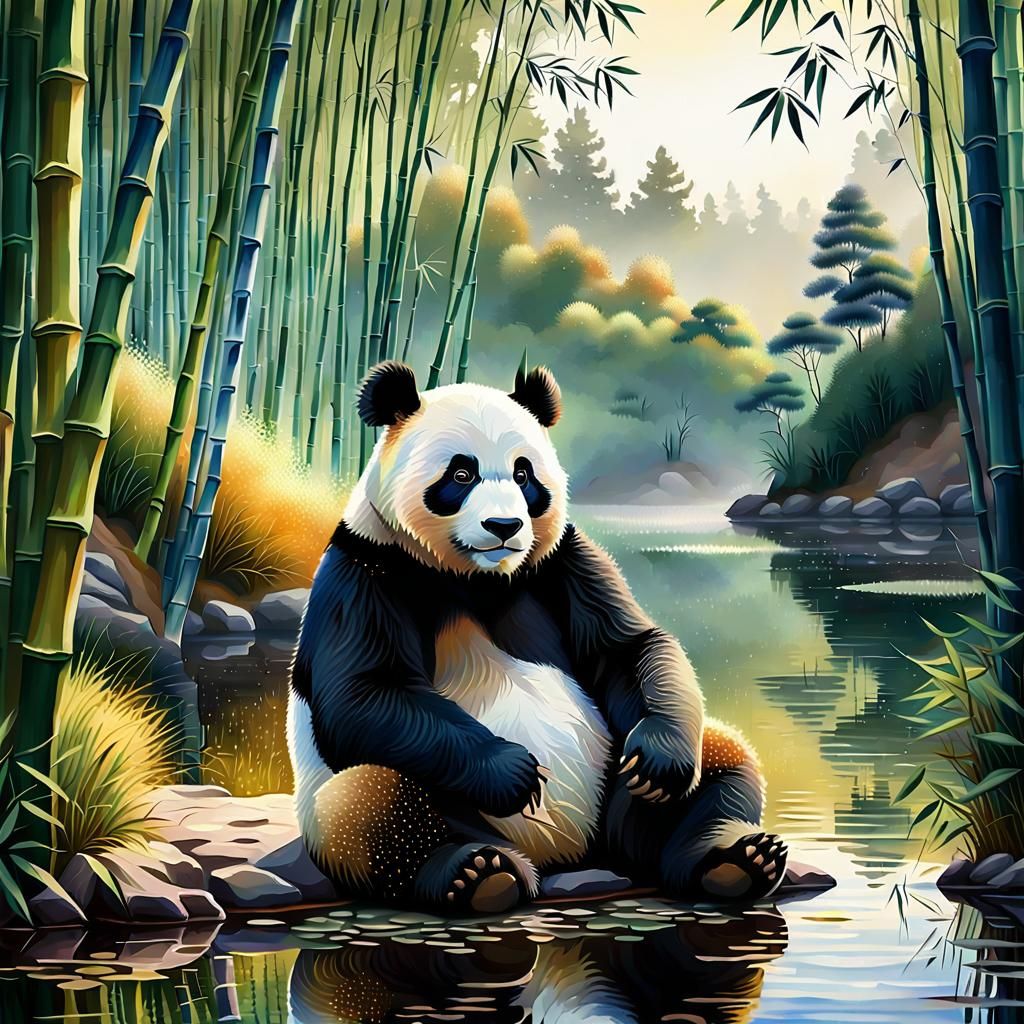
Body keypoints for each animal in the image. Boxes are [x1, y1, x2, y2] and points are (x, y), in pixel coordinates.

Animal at [288, 360, 786, 914]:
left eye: (524, 474)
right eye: (461, 474)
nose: (504, 525)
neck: (472, 577)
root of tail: (565, 855)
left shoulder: (560, 560)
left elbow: (627, 647)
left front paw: (659, 762)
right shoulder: (367, 569)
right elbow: (363, 692)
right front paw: (513, 772)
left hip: (620, 789)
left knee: (721, 760)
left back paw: (736, 861)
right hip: (391, 801)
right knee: (374, 802)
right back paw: (477, 873)